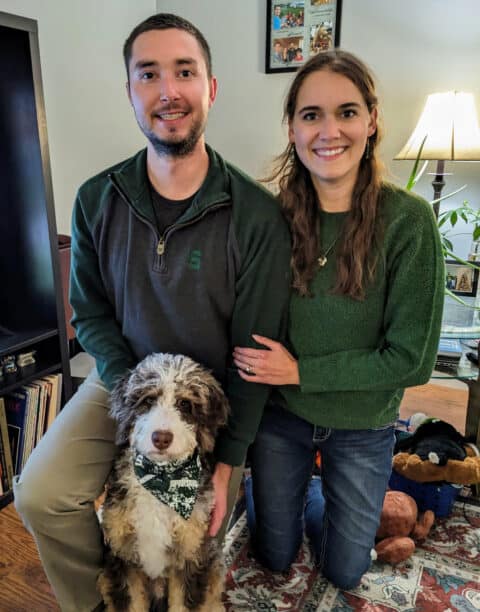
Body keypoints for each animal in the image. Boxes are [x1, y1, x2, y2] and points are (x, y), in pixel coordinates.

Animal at [97, 354, 229, 612]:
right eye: (148, 400)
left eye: (185, 404)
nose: (161, 438)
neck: (160, 480)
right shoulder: (122, 556)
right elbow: (131, 604)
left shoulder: (190, 556)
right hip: (106, 576)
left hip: (213, 563)